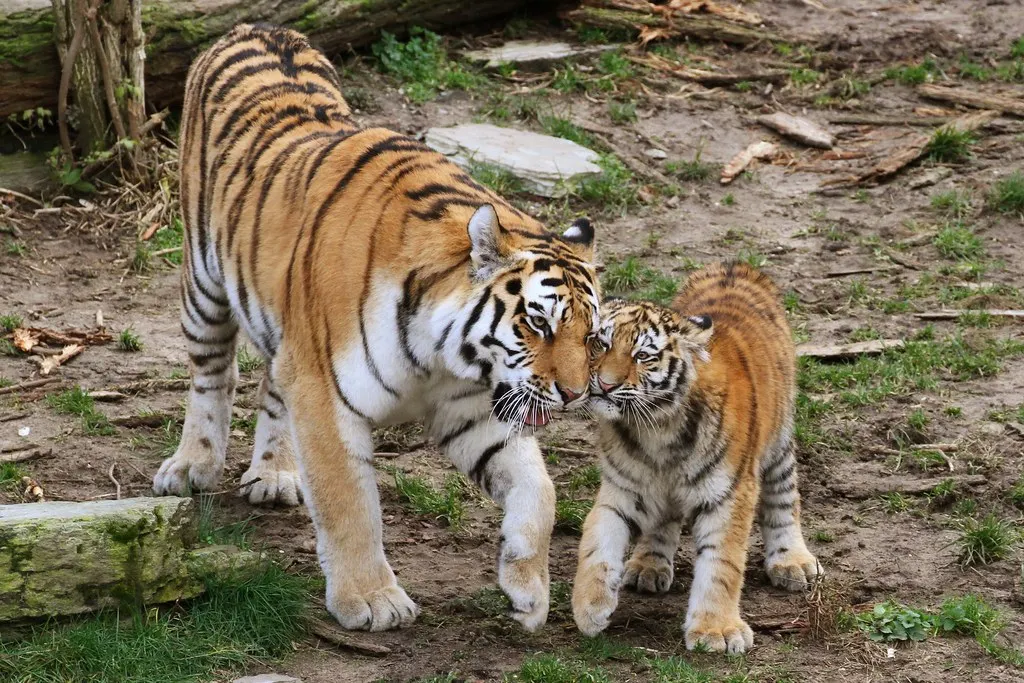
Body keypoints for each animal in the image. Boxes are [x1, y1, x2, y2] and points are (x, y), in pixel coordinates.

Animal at [151, 23, 602, 633]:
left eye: (592, 336)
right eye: (537, 322)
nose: (575, 394)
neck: (443, 356)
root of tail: (260, 26)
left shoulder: (467, 410)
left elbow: (540, 489)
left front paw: (527, 589)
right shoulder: (324, 392)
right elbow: (349, 504)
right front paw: (371, 601)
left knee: (271, 382)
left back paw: (274, 474)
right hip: (203, 282)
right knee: (212, 376)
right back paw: (192, 465)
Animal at [571, 262, 821, 653]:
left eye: (643, 356)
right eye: (601, 343)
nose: (604, 385)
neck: (657, 428)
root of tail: (734, 265)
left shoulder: (729, 494)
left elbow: (722, 564)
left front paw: (716, 630)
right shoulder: (622, 488)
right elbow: (597, 544)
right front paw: (590, 608)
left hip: (779, 442)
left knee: (783, 499)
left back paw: (791, 561)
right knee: (663, 521)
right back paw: (648, 566)